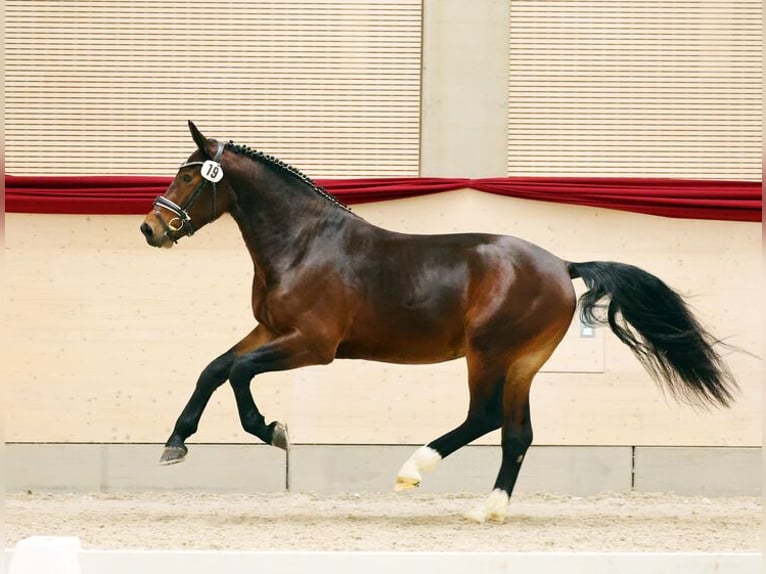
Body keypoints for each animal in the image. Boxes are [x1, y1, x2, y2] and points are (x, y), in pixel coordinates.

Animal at [139, 121, 737, 523]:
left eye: (189, 177)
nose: (151, 229)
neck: (305, 244)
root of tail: (561, 265)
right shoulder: (270, 331)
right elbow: (214, 369)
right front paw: (176, 442)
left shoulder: (311, 344)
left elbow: (238, 373)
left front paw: (272, 431)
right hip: (522, 364)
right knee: (515, 432)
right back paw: (488, 510)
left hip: (489, 354)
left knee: (486, 417)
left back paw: (414, 470)